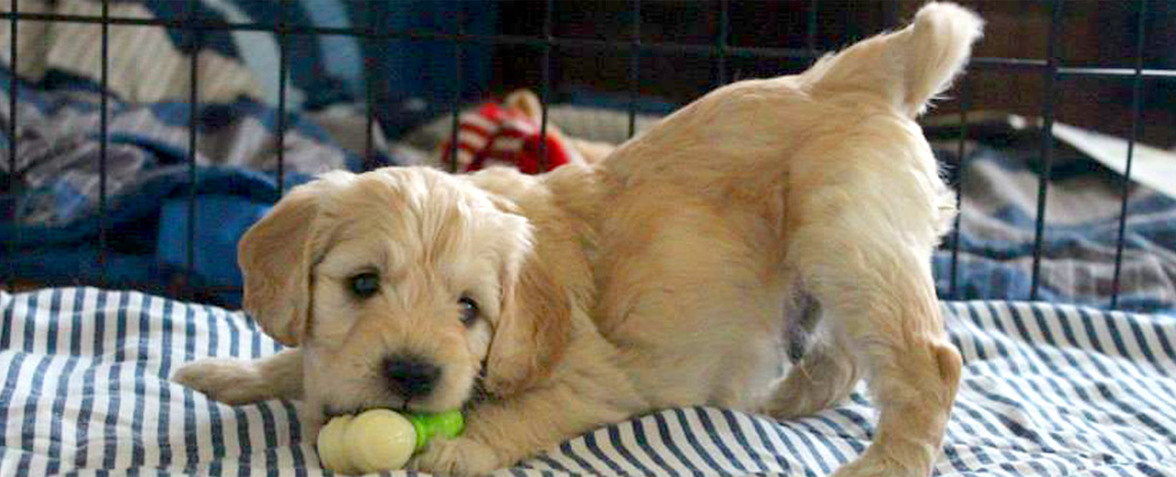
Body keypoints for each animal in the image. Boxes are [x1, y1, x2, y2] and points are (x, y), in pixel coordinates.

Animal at [174, 4, 983, 476]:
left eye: (469, 309)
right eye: (362, 284)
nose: (410, 375)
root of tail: (855, 74)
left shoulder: (600, 374)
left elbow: (524, 410)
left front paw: (462, 445)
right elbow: (298, 358)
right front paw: (230, 373)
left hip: (850, 240)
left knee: (929, 363)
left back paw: (882, 463)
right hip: (831, 261)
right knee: (845, 357)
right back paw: (781, 401)